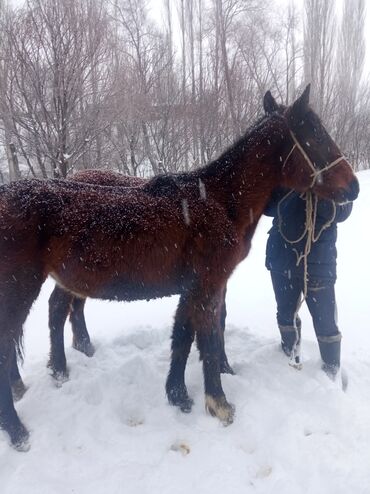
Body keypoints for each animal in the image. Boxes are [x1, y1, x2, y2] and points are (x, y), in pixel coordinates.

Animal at [0, 87, 360, 450]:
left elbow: (183, 338)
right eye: (316, 134)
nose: (354, 187)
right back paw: (17, 431)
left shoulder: (193, 287)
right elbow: (209, 340)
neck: (218, 201)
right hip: (21, 287)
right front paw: (219, 404)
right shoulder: (208, 286)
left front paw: (178, 395)